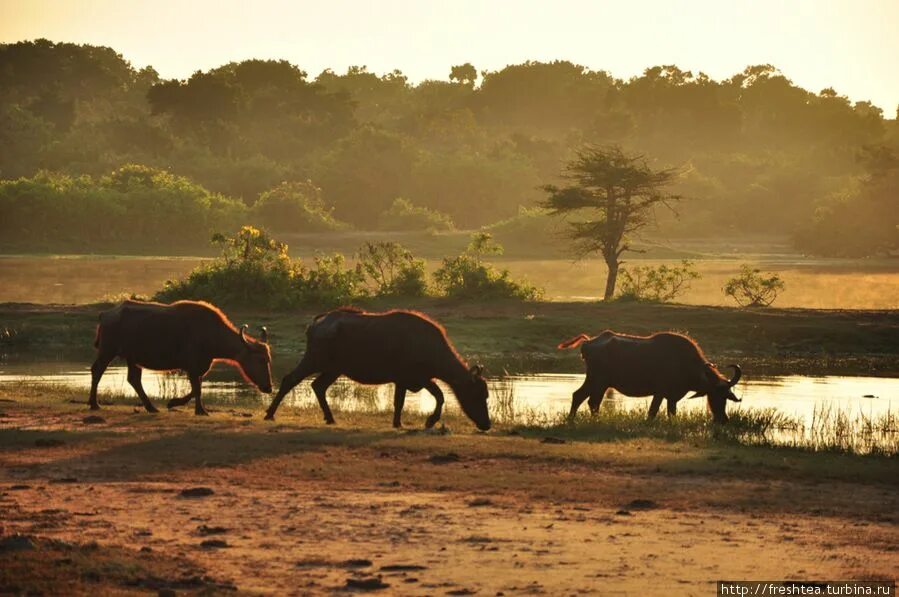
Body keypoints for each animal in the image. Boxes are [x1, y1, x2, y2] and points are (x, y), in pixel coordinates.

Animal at [92, 298, 276, 414]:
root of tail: (106, 314)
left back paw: (151, 407)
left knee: (134, 379)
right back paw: (94, 404)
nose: (268, 387)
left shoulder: (201, 367)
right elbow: (197, 389)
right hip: (107, 351)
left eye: (269, 360)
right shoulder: (193, 367)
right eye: (260, 359)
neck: (211, 333)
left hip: (133, 358)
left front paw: (179, 404)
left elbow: (197, 388)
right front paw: (196, 409)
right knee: (97, 371)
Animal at [266, 308, 492, 428]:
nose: (487, 424)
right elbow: (434, 397)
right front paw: (425, 421)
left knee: (318, 386)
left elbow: (417, 399)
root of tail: (316, 323)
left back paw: (330, 418)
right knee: (289, 379)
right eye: (477, 394)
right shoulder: (410, 378)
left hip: (334, 369)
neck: (427, 345)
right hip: (313, 360)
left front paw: (403, 422)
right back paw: (270, 413)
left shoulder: (414, 380)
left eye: (486, 395)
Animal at [560, 330, 740, 424]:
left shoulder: (671, 397)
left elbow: (670, 413)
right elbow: (653, 412)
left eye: (726, 396)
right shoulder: (660, 393)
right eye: (715, 395)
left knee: (586, 399)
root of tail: (589, 342)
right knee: (586, 399)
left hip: (599, 383)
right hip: (597, 381)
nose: (724, 419)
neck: (685, 363)